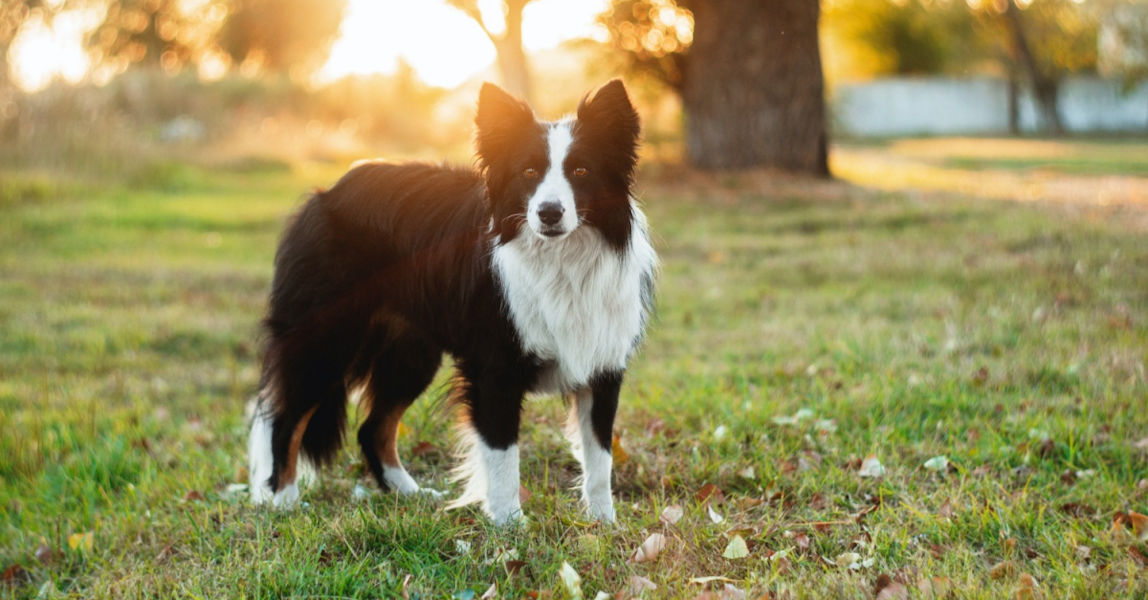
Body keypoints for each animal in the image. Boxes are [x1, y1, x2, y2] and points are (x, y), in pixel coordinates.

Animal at [246, 80, 656, 525]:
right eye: (528, 172)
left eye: (581, 171)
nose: (548, 213)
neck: (561, 257)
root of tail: (327, 192)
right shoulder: (495, 367)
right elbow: (502, 454)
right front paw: (509, 525)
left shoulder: (602, 363)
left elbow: (600, 456)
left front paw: (603, 523)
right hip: (326, 339)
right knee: (284, 418)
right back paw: (283, 499)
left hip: (410, 353)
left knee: (372, 428)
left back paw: (409, 494)